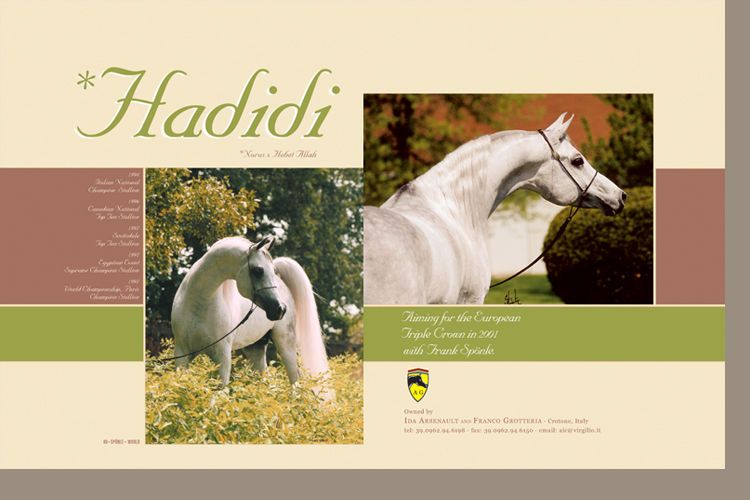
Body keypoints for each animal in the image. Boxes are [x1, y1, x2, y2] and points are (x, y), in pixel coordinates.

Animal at [170, 235, 329, 388]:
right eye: (258, 270)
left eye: (273, 271)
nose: (280, 309)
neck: (199, 304)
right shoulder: (182, 355)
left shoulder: (222, 356)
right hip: (255, 348)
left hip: (286, 346)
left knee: (295, 382)